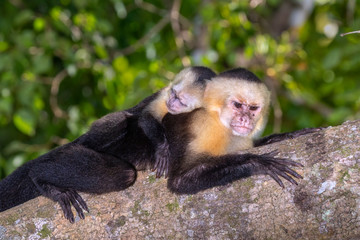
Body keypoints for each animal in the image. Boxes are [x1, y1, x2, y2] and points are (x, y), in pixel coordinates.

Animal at [0, 66, 217, 223]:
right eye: (173, 94)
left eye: (181, 100)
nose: (172, 102)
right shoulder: (162, 97)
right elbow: (146, 116)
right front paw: (162, 148)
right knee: (119, 152)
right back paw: (43, 179)